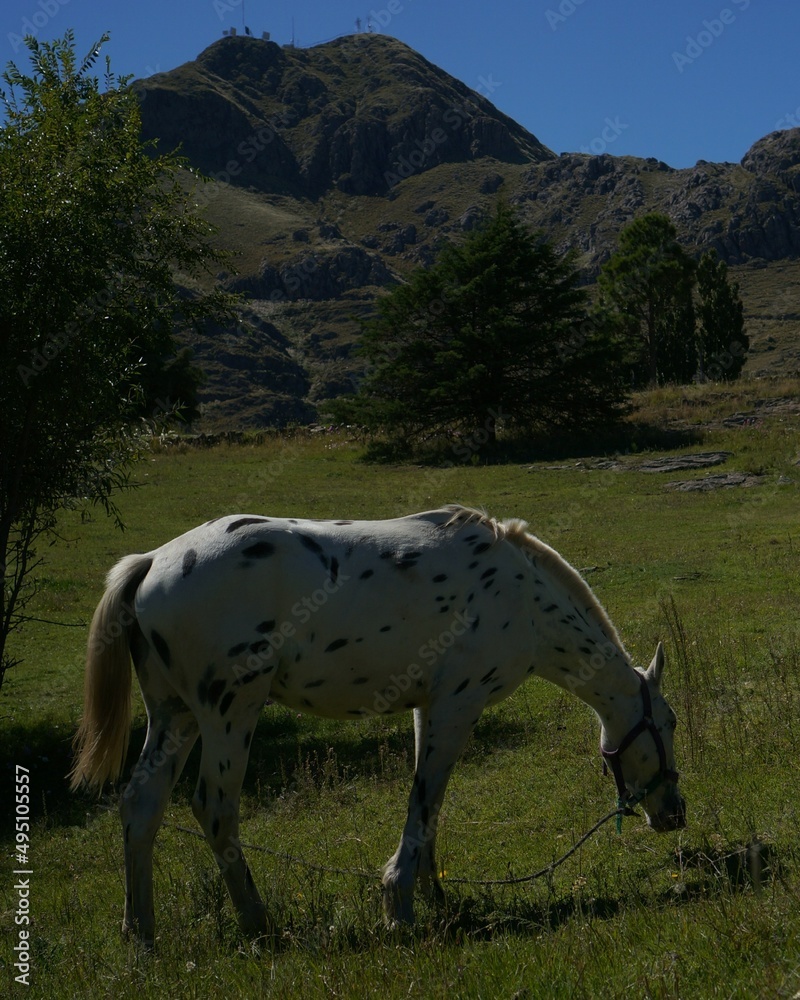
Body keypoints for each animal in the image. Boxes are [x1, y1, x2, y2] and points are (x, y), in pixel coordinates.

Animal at [70, 504, 686, 946]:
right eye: (671, 723)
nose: (675, 815)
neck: (522, 598)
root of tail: (154, 560)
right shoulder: (457, 707)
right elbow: (423, 801)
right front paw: (400, 906)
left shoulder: (428, 708)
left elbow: (431, 805)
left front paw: (435, 898)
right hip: (229, 713)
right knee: (215, 810)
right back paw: (259, 924)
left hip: (174, 717)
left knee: (142, 805)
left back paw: (141, 934)